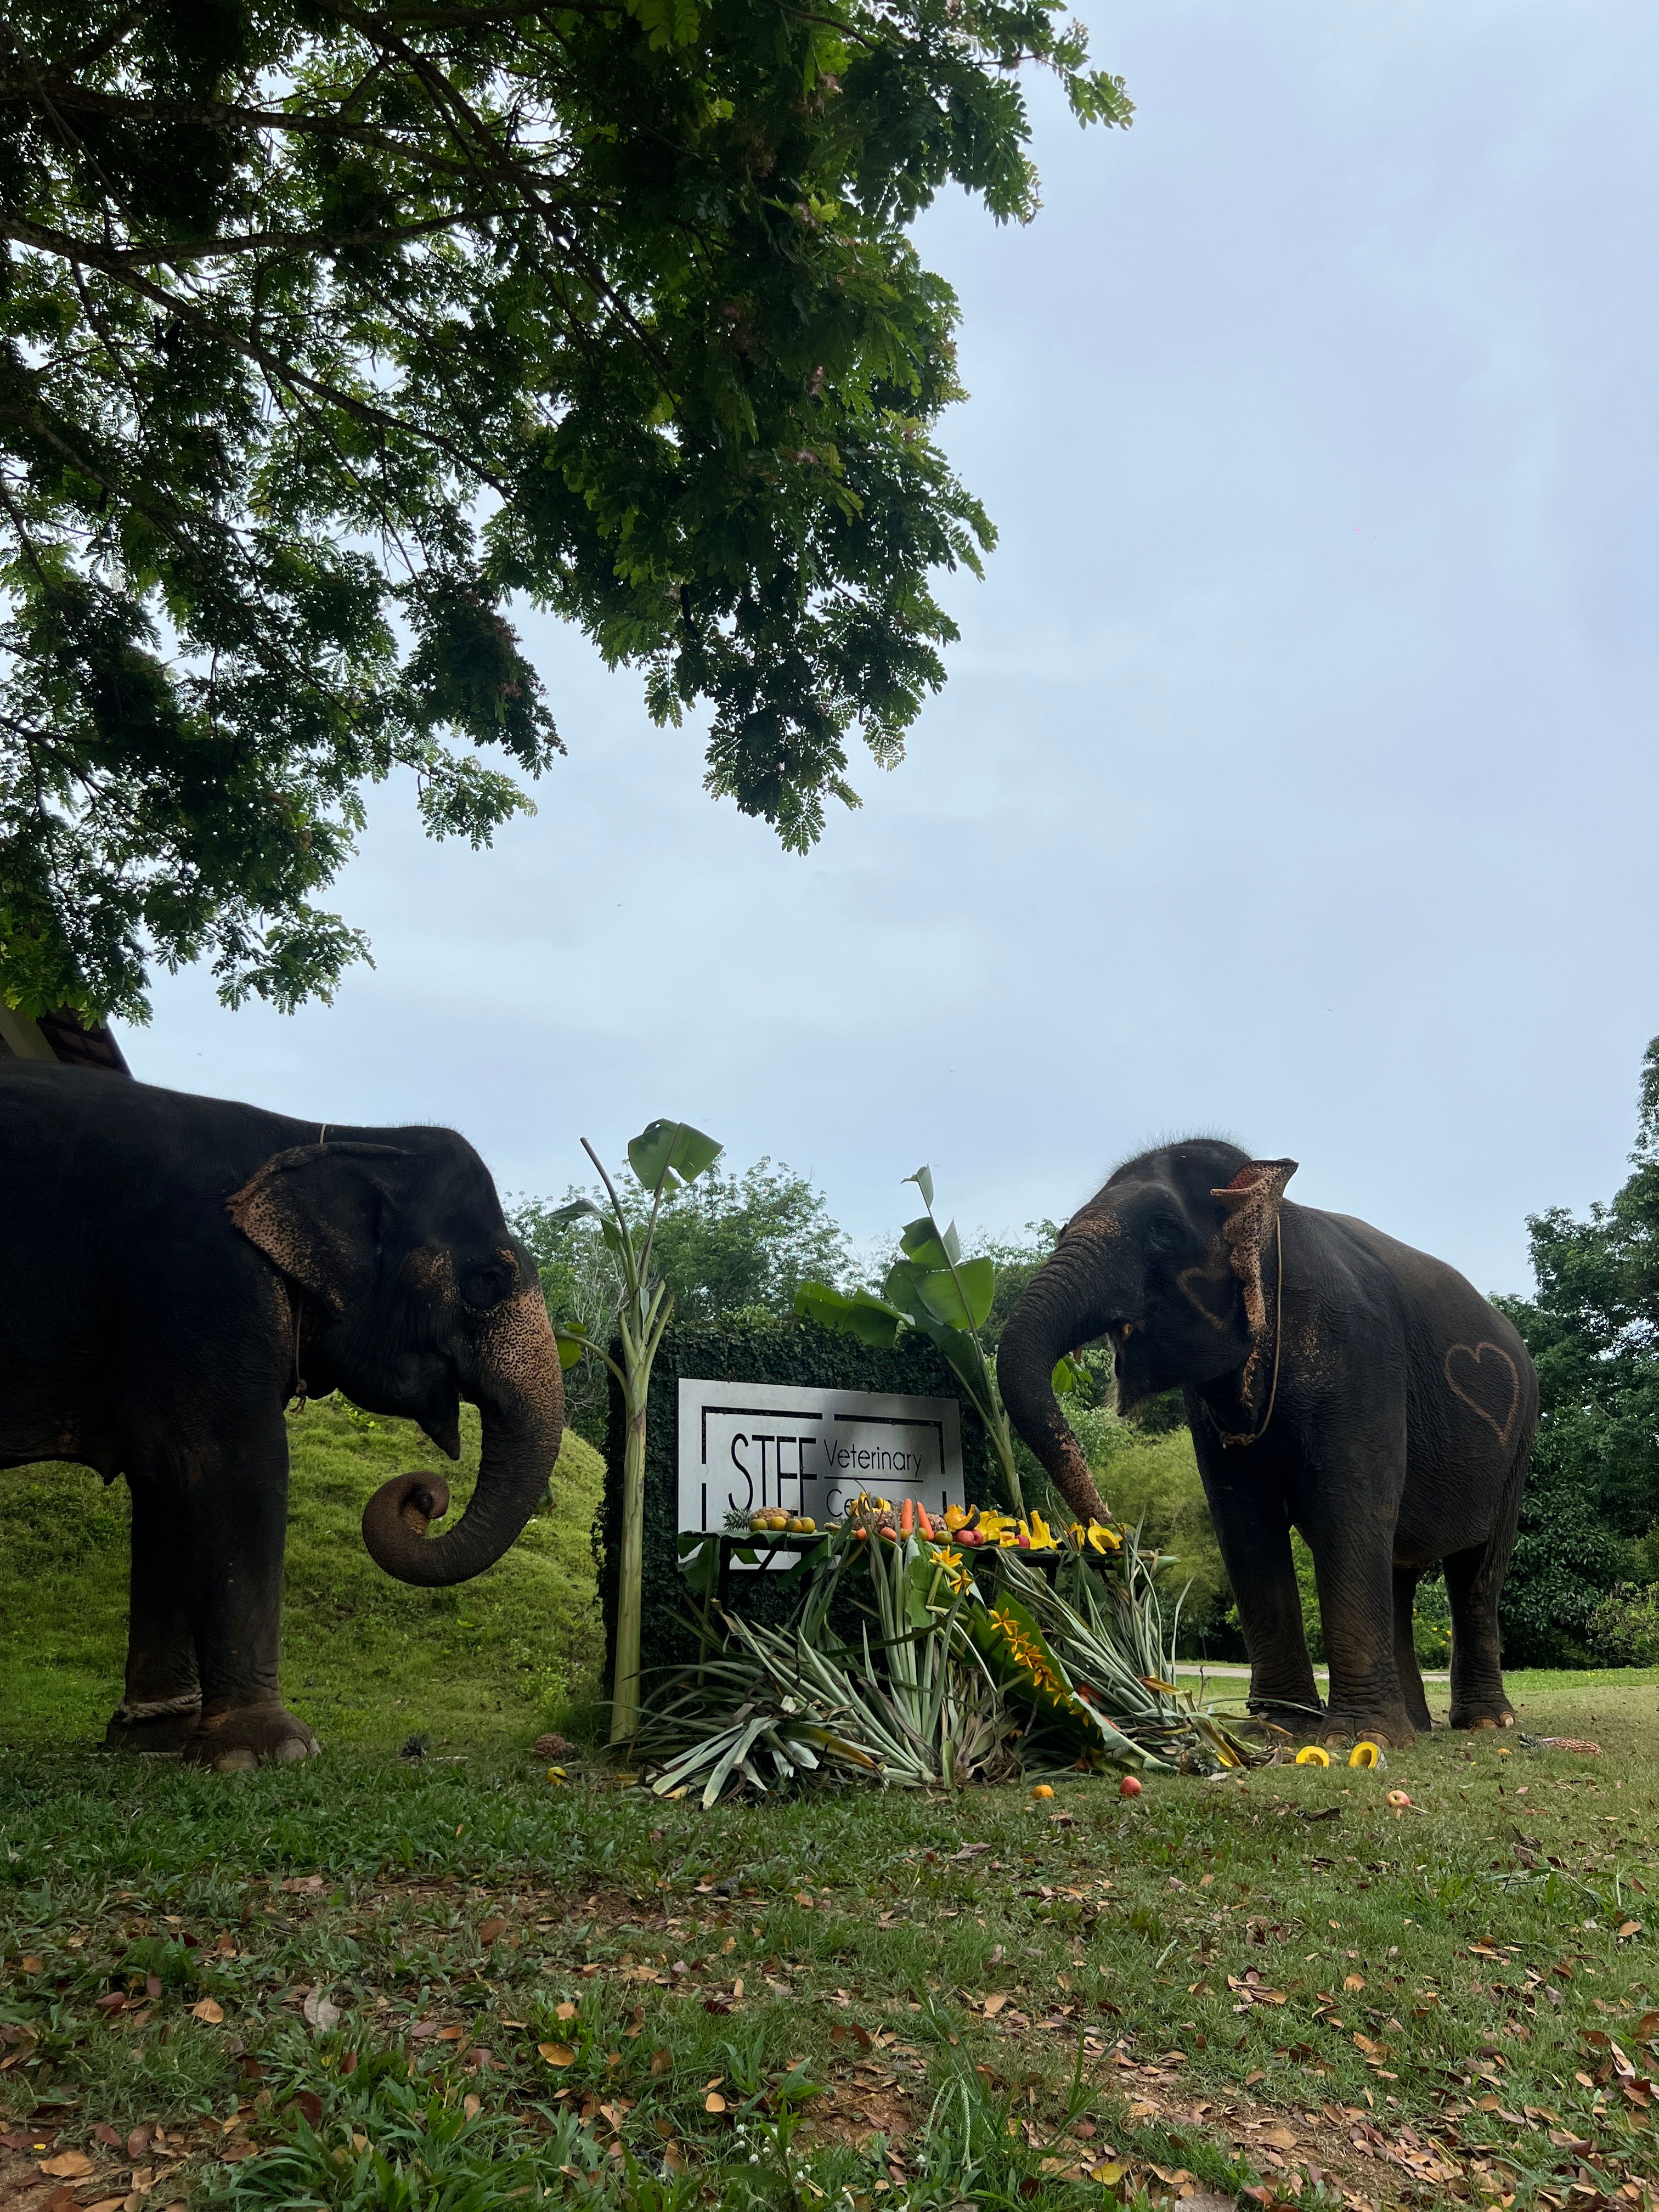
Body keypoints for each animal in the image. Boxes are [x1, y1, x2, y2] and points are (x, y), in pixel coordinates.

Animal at [0, 1061, 564, 1769]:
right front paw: (274, 1752)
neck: (323, 1136)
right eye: (488, 1281)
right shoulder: (204, 1283)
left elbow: (163, 1486)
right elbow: (231, 1464)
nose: (427, 1497)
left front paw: (158, 1742)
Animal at [996, 1141, 1536, 1747]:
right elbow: (1244, 1522)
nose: (1121, 1540)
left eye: (1163, 1229)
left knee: (1478, 1570)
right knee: (1400, 1569)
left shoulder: (1361, 1355)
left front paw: (1354, 1740)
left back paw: (1484, 1723)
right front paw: (1280, 1727)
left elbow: (1349, 1511)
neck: (1273, 1213)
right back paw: (1416, 1728)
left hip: (1518, 1446)